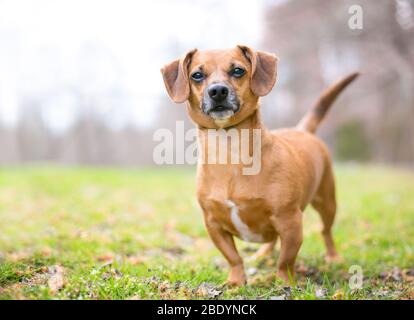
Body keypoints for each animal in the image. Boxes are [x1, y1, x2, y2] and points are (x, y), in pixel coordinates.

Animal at [160, 44, 358, 284]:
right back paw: (262, 254)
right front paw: (236, 281)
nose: (218, 91)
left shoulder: (290, 221)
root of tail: (302, 130)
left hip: (327, 202)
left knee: (325, 231)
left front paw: (285, 282)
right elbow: (233, 257)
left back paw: (333, 256)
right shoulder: (213, 225)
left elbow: (286, 260)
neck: (229, 151)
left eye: (238, 71)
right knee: (272, 239)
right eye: (197, 75)